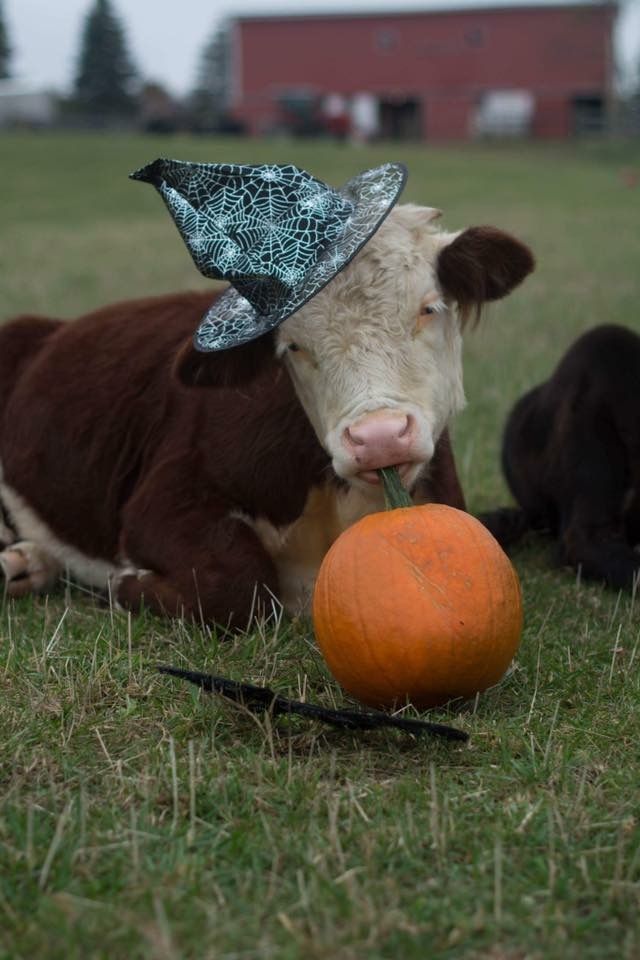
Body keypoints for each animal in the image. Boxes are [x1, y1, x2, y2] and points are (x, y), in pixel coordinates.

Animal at [0, 205, 536, 628]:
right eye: (292, 345)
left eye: (428, 308)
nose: (379, 437)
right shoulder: (162, 499)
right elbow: (239, 587)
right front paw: (125, 583)